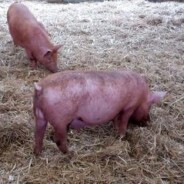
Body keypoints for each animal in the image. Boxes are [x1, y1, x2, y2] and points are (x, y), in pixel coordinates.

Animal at [33, 69, 167, 155]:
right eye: (150, 106)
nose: (148, 122)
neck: (142, 97)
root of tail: (41, 88)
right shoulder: (129, 107)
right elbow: (123, 121)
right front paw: (123, 136)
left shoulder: (117, 111)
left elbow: (116, 120)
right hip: (60, 120)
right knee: (58, 140)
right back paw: (70, 154)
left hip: (39, 116)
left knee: (38, 135)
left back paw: (38, 154)